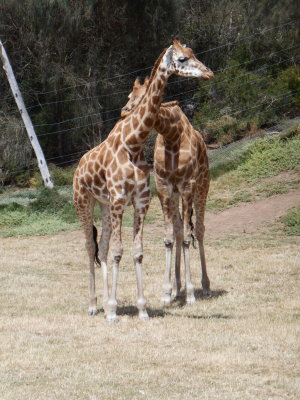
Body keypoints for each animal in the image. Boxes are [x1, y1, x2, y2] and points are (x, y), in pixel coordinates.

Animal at [120, 76, 212, 304]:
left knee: (199, 229)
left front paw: (190, 293)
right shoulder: (163, 186)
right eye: (130, 95)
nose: (124, 112)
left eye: (144, 96)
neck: (172, 135)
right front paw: (167, 291)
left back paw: (205, 286)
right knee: (179, 229)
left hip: (202, 186)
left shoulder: (187, 184)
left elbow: (188, 238)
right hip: (176, 193)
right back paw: (178, 289)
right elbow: (170, 237)